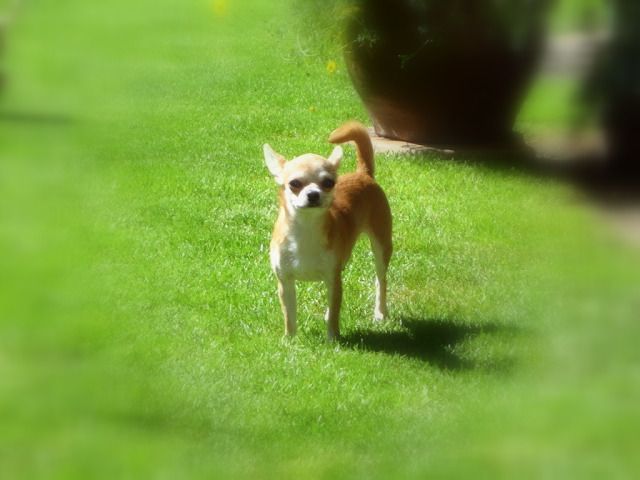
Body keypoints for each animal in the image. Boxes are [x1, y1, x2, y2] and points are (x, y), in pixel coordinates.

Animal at [263, 121, 392, 340]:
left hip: (382, 247)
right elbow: (289, 314)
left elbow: (335, 311)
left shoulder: (333, 279)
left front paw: (333, 338)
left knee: (380, 280)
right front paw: (289, 339)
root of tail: (363, 173)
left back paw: (380, 312)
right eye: (294, 183)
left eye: (329, 183)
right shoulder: (285, 282)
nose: (313, 194)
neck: (305, 230)